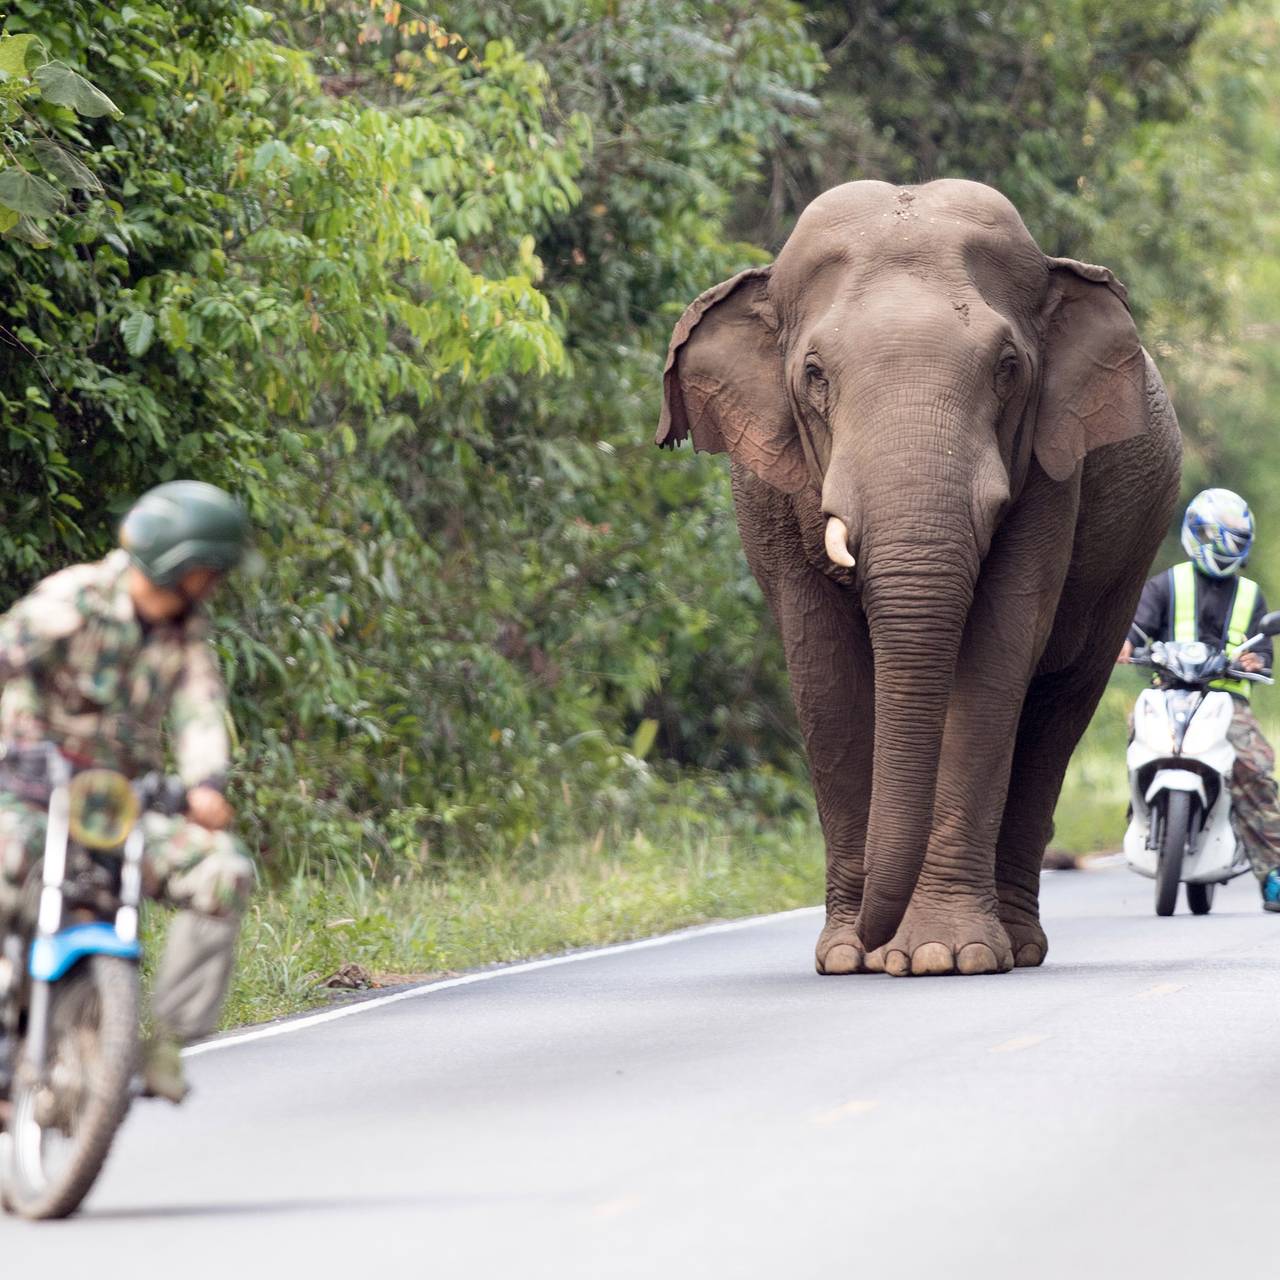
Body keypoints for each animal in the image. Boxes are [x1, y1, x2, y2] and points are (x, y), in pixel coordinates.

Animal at [660, 180, 1177, 972]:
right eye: (814, 375)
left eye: (1007, 368)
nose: (880, 945)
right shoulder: (769, 495)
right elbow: (824, 677)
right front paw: (849, 958)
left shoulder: (1052, 475)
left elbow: (995, 656)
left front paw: (942, 955)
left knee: (1057, 709)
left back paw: (1016, 945)